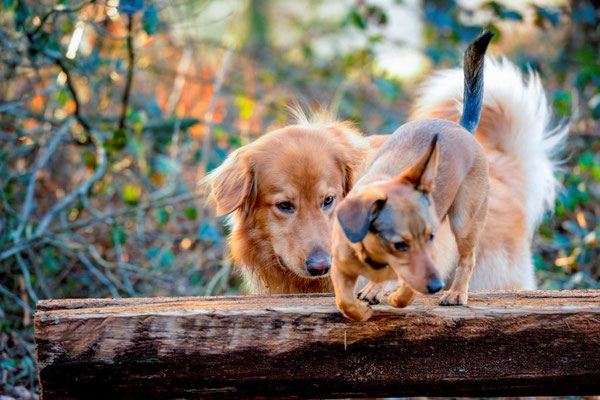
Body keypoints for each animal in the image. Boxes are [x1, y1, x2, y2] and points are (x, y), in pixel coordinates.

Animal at [330, 30, 494, 322]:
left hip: (465, 220)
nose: (436, 285)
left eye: (429, 237)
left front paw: (394, 295)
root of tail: (462, 127)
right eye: (399, 244)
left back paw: (456, 294)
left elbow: (405, 289)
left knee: (467, 258)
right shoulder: (340, 267)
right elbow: (345, 302)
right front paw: (363, 304)